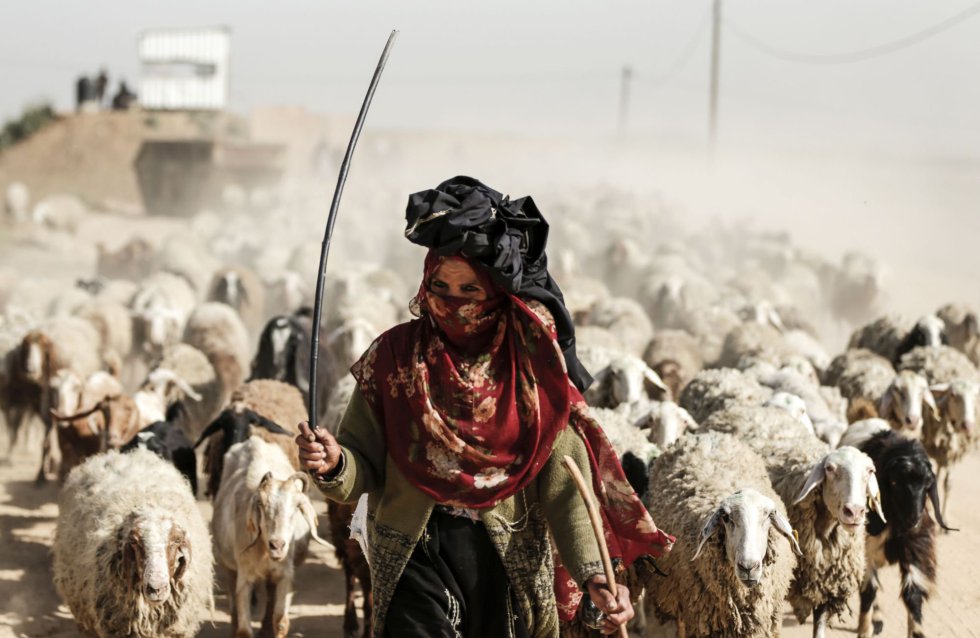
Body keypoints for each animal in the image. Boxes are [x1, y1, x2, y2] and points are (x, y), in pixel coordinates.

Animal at [852, 430, 952, 638]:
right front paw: (864, 630)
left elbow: (912, 595)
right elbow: (868, 590)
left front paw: (917, 632)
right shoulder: (867, 549)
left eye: (927, 484)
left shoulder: (915, 551)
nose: (914, 520)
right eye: (894, 482)